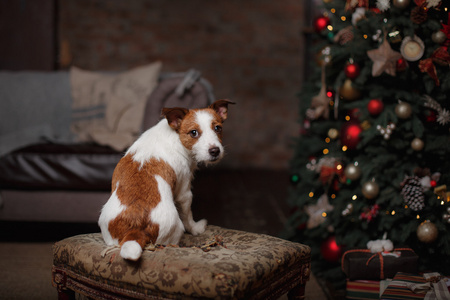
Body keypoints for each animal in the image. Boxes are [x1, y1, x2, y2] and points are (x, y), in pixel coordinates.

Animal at [97, 99, 234, 258]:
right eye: (193, 133)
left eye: (218, 128)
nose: (215, 151)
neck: (176, 136)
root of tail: (136, 229)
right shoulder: (184, 191)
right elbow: (188, 215)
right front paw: (196, 228)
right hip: (176, 229)